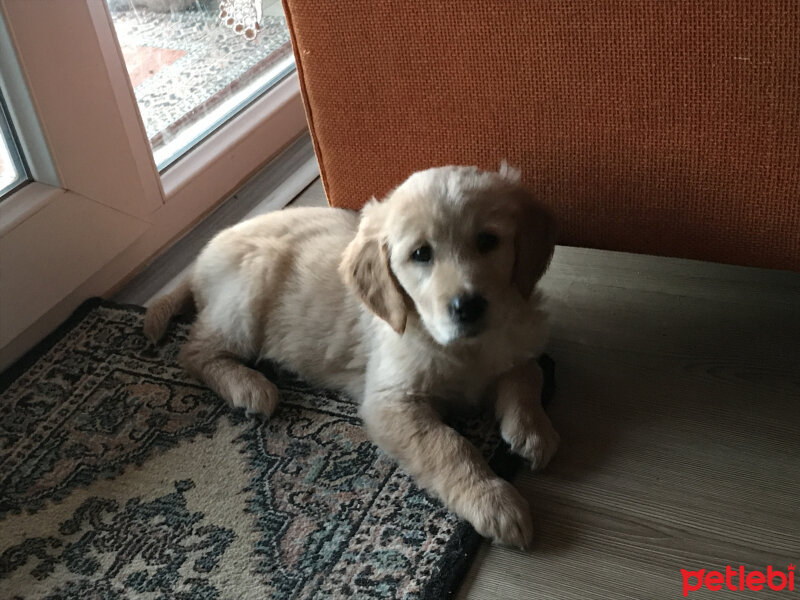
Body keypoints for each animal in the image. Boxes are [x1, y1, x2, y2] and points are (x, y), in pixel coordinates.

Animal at [144, 165, 556, 548]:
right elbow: (448, 446)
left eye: (488, 241)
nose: (467, 306)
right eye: (421, 254)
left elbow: (528, 372)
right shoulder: (390, 402)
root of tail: (201, 258)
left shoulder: (516, 339)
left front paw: (532, 429)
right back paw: (248, 387)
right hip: (244, 300)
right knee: (193, 351)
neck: (462, 347)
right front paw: (493, 502)